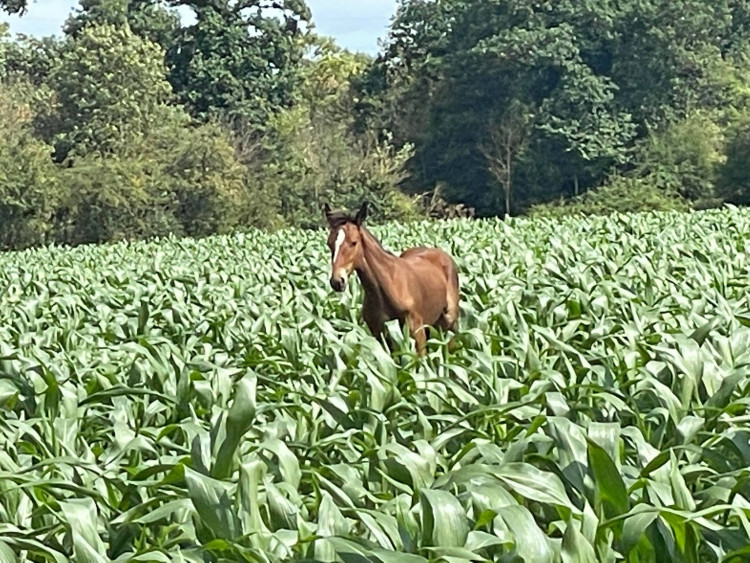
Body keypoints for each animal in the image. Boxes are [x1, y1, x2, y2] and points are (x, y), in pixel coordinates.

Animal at [324, 203, 462, 356]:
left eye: (354, 242)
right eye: (329, 243)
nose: (337, 281)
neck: (388, 287)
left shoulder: (417, 331)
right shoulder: (378, 334)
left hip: (449, 322)